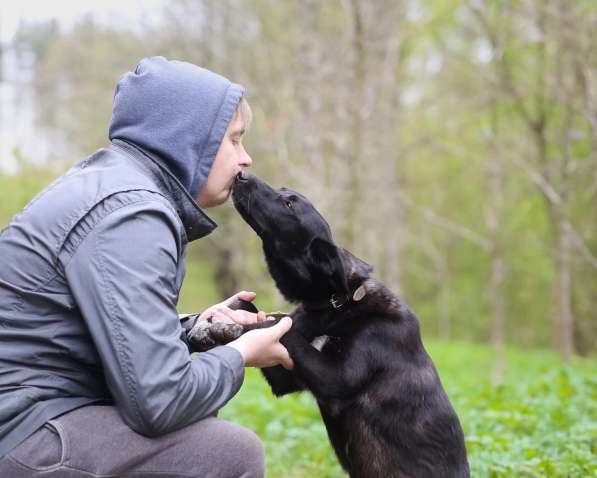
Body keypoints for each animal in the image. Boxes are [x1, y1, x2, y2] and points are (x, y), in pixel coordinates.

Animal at [189, 174, 468, 476]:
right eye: (284, 191)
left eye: (289, 204)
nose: (242, 174)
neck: (335, 305)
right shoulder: (286, 377)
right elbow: (252, 309)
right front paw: (212, 326)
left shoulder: (336, 378)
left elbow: (279, 324)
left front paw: (224, 329)